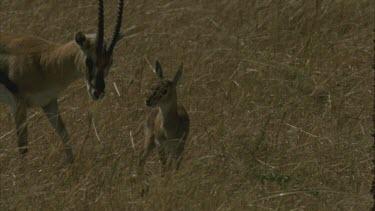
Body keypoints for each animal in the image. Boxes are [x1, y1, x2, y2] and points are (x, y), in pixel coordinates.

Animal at [0, 0, 126, 163]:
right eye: (89, 61)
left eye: (110, 62)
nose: (97, 92)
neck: (43, 61)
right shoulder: (18, 105)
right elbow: (23, 147)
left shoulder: (49, 103)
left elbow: (64, 135)